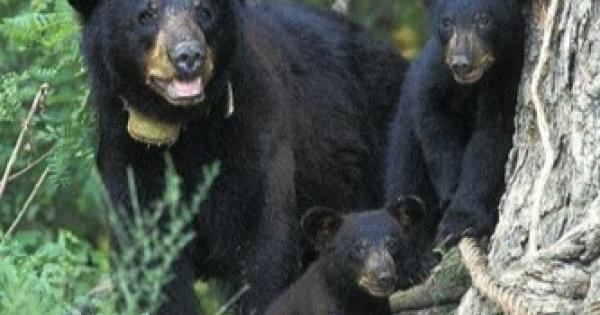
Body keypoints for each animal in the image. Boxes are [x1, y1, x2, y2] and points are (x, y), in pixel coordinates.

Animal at [69, 0, 408, 314]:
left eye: (204, 11)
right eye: (146, 14)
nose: (188, 56)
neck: (188, 127)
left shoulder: (255, 136)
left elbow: (260, 243)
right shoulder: (129, 150)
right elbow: (151, 253)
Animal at [386, 0, 524, 247]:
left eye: (484, 19)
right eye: (446, 21)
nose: (461, 64)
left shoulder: (507, 78)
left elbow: (491, 139)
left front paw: (460, 223)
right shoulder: (434, 73)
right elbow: (433, 125)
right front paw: (450, 192)